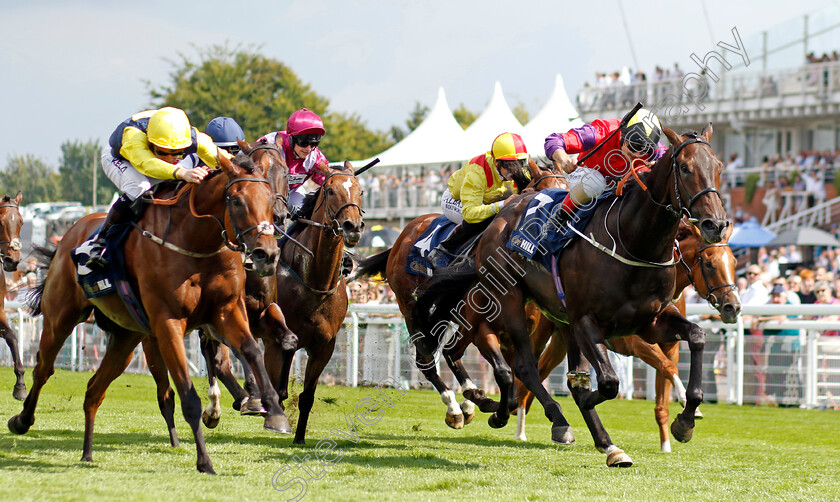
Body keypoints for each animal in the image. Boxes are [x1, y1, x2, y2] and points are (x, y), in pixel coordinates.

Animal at [6, 153, 288, 474]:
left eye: (270, 198)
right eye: (238, 201)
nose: (267, 254)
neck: (196, 241)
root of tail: (69, 235)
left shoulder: (226, 311)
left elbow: (251, 349)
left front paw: (274, 412)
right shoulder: (168, 324)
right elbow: (188, 395)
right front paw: (204, 461)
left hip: (126, 338)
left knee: (93, 390)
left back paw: (87, 453)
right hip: (61, 317)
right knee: (44, 368)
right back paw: (21, 420)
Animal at [354, 159, 564, 426]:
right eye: (545, 195)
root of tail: (402, 236)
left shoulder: (519, 330)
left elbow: (516, 373)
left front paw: (492, 402)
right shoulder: (481, 325)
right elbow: (503, 371)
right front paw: (494, 409)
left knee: (449, 353)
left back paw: (470, 398)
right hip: (411, 308)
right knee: (427, 360)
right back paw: (454, 407)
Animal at [516, 220, 740, 452]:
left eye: (734, 262)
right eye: (709, 264)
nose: (733, 307)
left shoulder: (670, 347)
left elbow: (664, 393)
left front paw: (669, 442)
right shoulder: (638, 344)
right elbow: (668, 367)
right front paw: (688, 404)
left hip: (562, 339)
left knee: (543, 370)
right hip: (540, 331)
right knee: (525, 374)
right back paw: (520, 430)